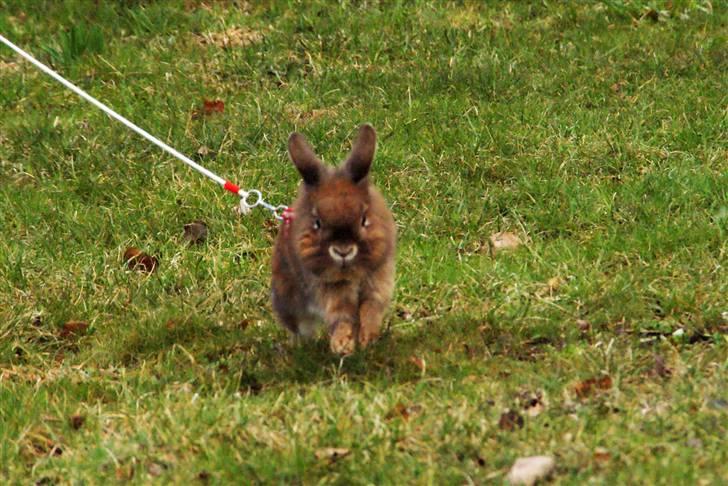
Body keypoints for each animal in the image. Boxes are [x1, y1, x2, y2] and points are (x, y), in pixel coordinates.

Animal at [270, 123, 396, 356]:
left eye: (364, 219)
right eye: (317, 222)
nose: (343, 251)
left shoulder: (378, 280)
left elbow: (371, 309)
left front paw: (367, 339)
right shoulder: (331, 289)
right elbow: (341, 316)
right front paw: (342, 346)